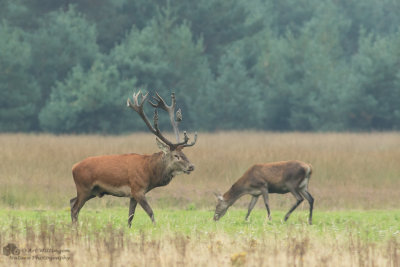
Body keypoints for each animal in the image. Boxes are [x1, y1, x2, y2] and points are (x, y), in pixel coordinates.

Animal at [72, 91, 198, 227]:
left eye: (183, 153)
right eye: (176, 155)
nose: (191, 166)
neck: (150, 172)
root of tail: (73, 167)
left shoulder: (132, 194)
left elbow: (130, 216)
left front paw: (128, 228)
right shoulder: (137, 189)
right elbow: (150, 212)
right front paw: (155, 227)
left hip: (92, 191)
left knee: (71, 201)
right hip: (83, 188)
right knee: (74, 208)